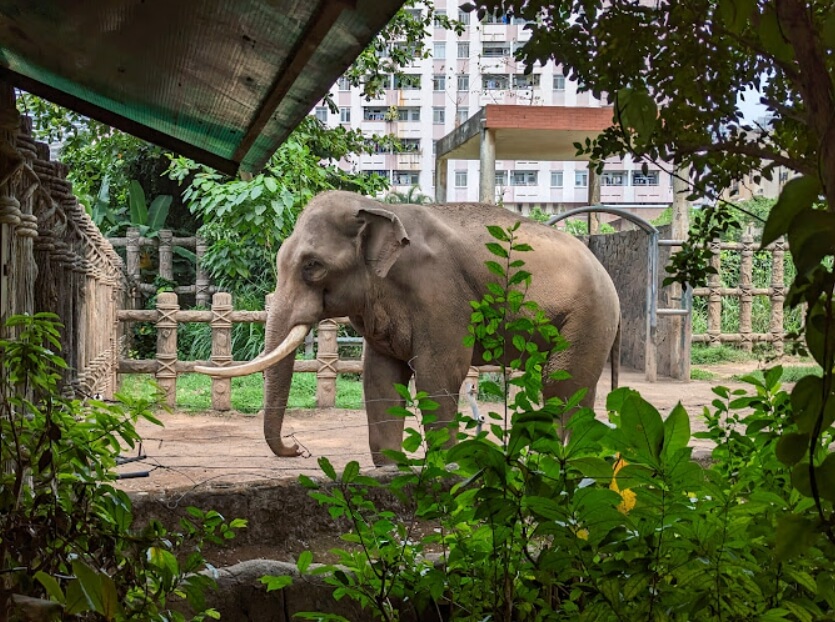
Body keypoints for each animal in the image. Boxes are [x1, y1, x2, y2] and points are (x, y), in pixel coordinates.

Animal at [193, 193, 616, 466]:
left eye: (312, 265)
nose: (298, 449)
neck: (381, 208)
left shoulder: (441, 295)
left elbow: (437, 373)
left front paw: (445, 468)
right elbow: (380, 376)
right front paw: (390, 468)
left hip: (589, 316)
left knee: (562, 385)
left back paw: (553, 463)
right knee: (577, 389)